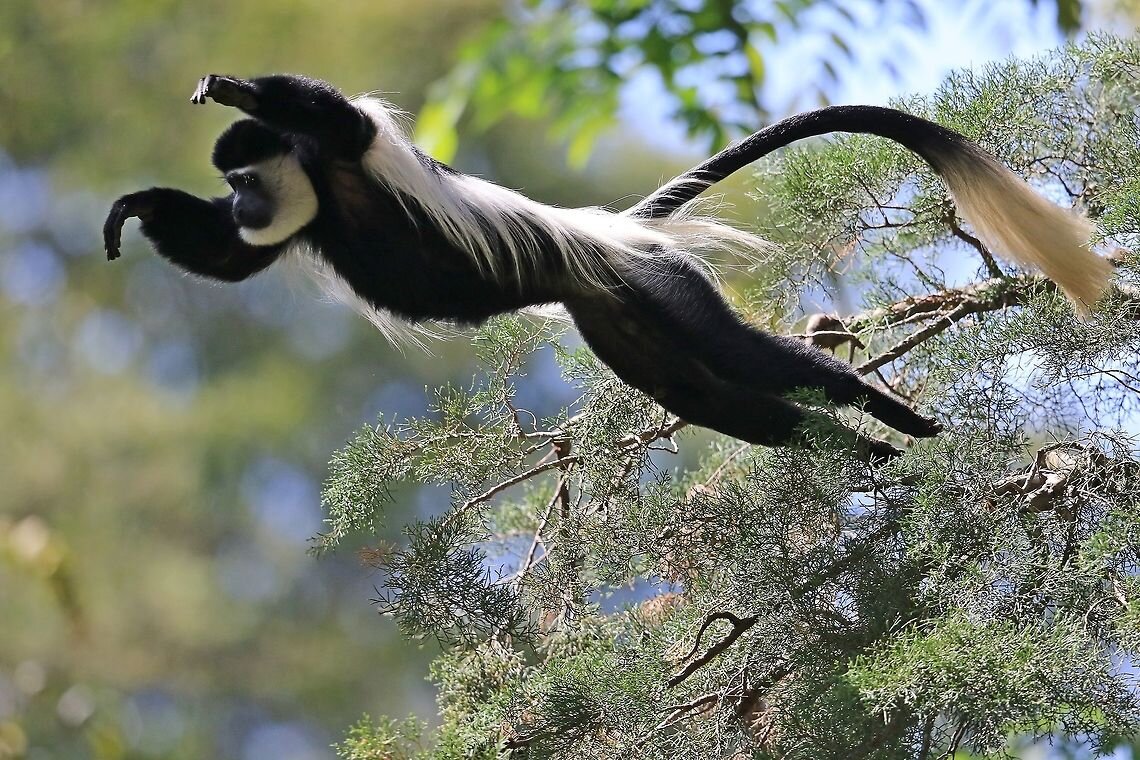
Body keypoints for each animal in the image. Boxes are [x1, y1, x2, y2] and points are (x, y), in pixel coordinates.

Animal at [104, 74, 1112, 458]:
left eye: (244, 177)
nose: (242, 203)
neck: (315, 187)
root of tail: (618, 234)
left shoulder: (345, 156)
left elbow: (342, 120)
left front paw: (235, 87)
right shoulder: (296, 216)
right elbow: (233, 263)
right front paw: (135, 209)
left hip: (661, 287)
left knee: (749, 362)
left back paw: (894, 416)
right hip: (620, 320)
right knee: (721, 401)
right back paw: (864, 452)